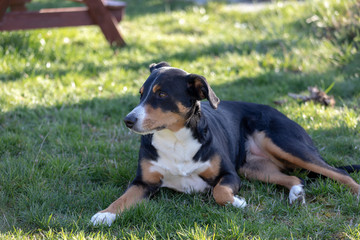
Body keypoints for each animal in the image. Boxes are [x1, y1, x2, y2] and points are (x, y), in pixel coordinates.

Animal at [90, 62, 360, 227]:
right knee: (295, 178)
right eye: (141, 93)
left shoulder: (229, 175)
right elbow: (123, 198)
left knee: (339, 173)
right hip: (254, 168)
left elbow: (219, 192)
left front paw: (236, 202)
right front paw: (104, 215)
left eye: (162, 94)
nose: (128, 120)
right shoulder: (143, 182)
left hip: (286, 144)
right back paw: (296, 194)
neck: (176, 138)